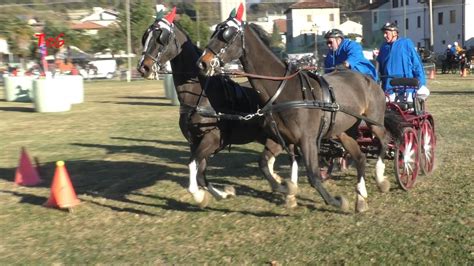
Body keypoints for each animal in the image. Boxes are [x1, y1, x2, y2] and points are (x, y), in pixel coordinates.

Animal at [135, 8, 298, 208]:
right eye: (146, 37)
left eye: (161, 38)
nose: (143, 67)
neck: (201, 95)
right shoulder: (195, 142)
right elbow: (200, 173)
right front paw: (223, 194)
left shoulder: (210, 140)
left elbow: (192, 166)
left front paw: (199, 195)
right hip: (269, 137)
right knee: (272, 158)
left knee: (291, 157)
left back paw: (289, 190)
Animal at [198, 7, 398, 212]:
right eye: (215, 31)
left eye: (227, 34)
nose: (202, 62)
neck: (285, 90)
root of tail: (370, 79)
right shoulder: (280, 139)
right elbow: (264, 165)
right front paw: (286, 189)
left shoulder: (307, 140)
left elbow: (313, 176)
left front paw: (335, 201)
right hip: (344, 132)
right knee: (360, 157)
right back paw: (361, 198)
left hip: (375, 122)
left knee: (385, 141)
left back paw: (380, 177)